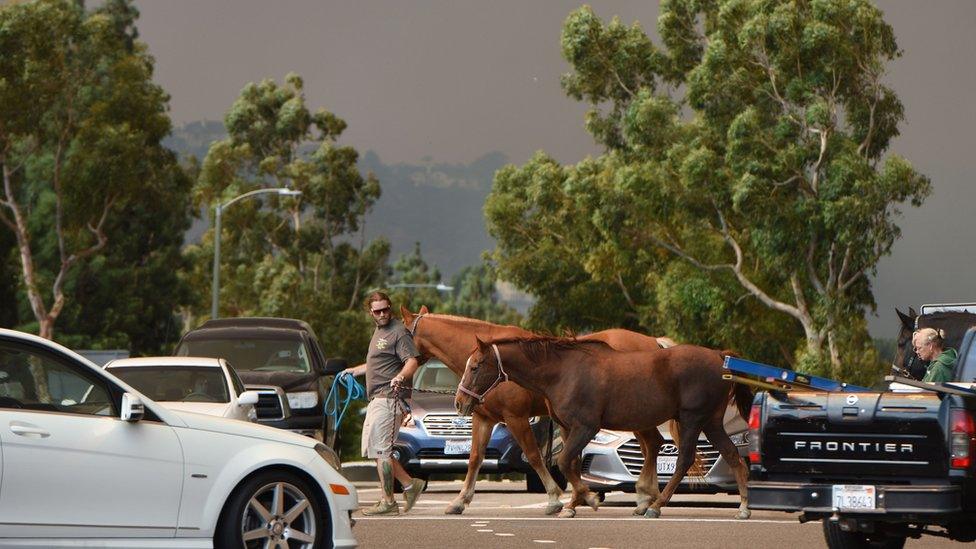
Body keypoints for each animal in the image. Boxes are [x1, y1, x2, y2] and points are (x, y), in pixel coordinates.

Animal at [400, 306, 676, 516]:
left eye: (399, 331)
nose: (458, 403)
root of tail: (653, 342)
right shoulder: (484, 418)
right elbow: (475, 458)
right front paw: (460, 501)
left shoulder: (516, 418)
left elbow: (533, 456)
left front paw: (554, 499)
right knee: (651, 446)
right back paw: (647, 498)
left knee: (651, 446)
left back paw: (647, 497)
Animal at [458, 334, 756, 520]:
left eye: (475, 366)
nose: (460, 402)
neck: (563, 372)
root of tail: (720, 357)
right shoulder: (569, 429)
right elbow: (571, 465)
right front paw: (573, 504)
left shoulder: (586, 427)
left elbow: (564, 462)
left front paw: (585, 500)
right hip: (712, 423)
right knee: (734, 458)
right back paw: (743, 507)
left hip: (693, 420)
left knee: (685, 460)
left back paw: (656, 505)